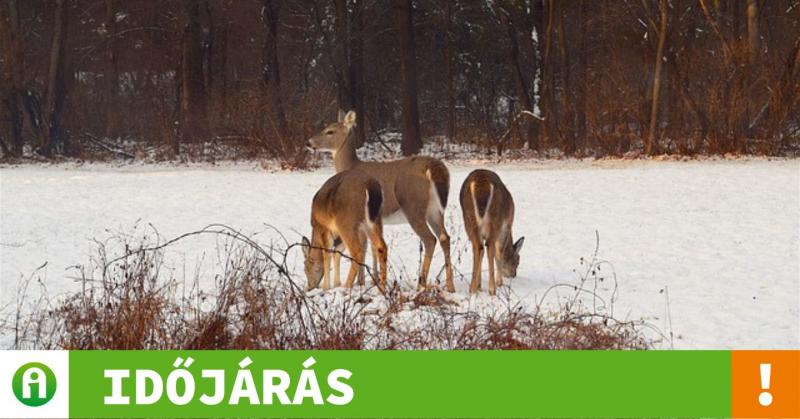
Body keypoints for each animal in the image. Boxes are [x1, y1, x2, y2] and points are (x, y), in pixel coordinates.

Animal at [306, 110, 456, 292]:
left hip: (413, 207)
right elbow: (373, 246)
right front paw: (374, 280)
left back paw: (421, 284)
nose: (308, 142)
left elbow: (365, 247)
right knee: (444, 237)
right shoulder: (376, 219)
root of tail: (435, 169)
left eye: (330, 131)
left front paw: (363, 281)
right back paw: (450, 286)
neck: (350, 166)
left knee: (430, 239)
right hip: (436, 210)